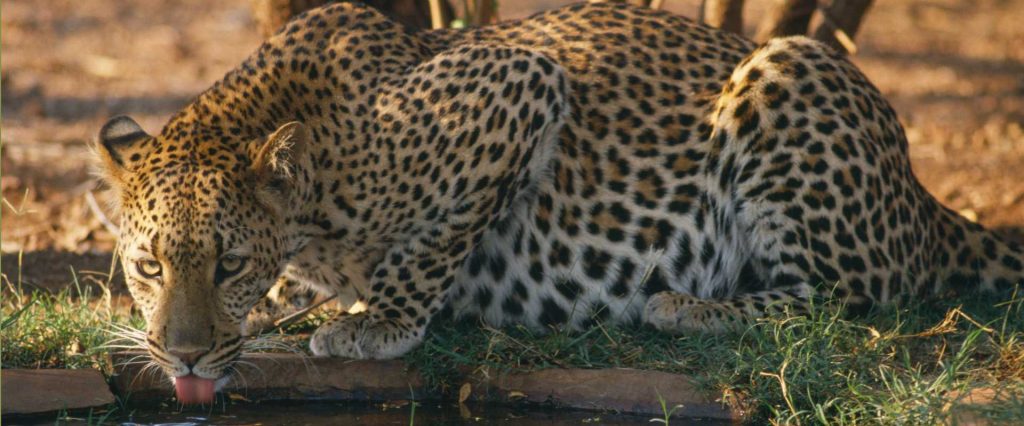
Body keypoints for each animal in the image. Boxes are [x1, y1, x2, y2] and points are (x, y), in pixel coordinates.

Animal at [96, 1, 1024, 403]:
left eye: (228, 263)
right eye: (148, 267)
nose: (183, 359)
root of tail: (922, 197)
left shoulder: (520, 85)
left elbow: (433, 246)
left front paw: (377, 320)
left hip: (791, 70)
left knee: (842, 300)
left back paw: (687, 305)